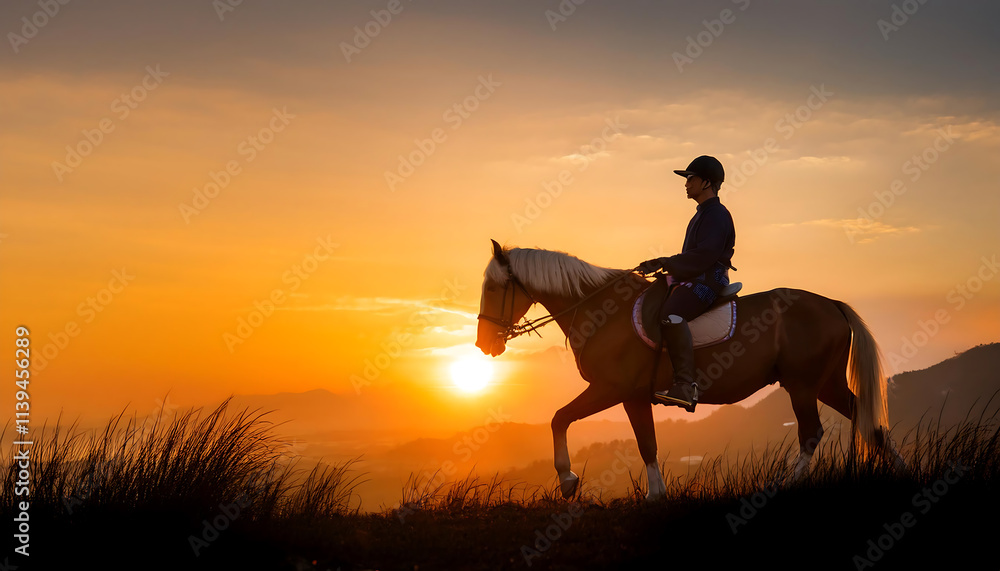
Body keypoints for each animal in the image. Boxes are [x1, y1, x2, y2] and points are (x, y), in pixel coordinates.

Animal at [475, 240, 904, 500]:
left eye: (494, 289)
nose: (483, 344)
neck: (602, 310)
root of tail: (832, 304)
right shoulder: (629, 395)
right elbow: (643, 442)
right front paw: (654, 494)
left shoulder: (613, 389)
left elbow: (562, 419)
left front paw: (569, 481)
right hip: (824, 383)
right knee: (867, 419)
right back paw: (902, 472)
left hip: (802, 385)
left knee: (812, 432)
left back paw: (783, 486)